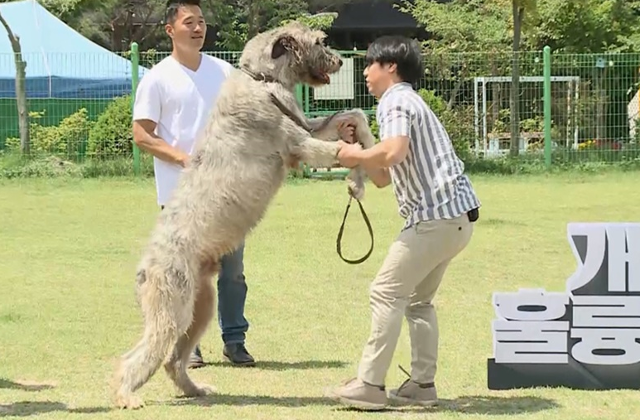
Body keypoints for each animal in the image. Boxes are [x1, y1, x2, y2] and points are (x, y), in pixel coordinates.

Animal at [113, 21, 378, 408]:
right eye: (319, 42)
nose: (341, 61)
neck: (262, 79)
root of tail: (145, 267)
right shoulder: (299, 144)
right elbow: (345, 150)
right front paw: (360, 177)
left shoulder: (307, 126)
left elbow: (352, 116)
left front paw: (371, 153)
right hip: (171, 310)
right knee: (135, 357)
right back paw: (126, 396)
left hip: (201, 307)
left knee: (173, 360)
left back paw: (194, 389)